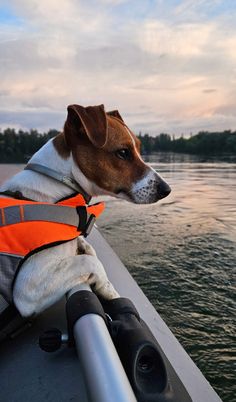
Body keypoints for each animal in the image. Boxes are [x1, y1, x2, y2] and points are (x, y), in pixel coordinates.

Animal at [0, 105, 171, 318]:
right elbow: (90, 262)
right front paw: (108, 290)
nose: (167, 189)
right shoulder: (28, 289)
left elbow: (88, 252)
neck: (59, 185)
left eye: (139, 149)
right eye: (123, 152)